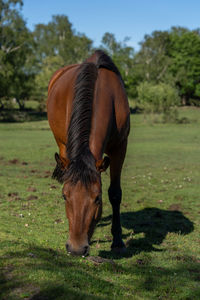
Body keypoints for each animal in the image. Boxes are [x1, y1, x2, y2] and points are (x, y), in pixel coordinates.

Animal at [47, 49, 130, 255]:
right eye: (64, 196)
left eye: (97, 198)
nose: (76, 249)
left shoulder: (120, 147)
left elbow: (115, 193)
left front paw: (118, 240)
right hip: (61, 144)